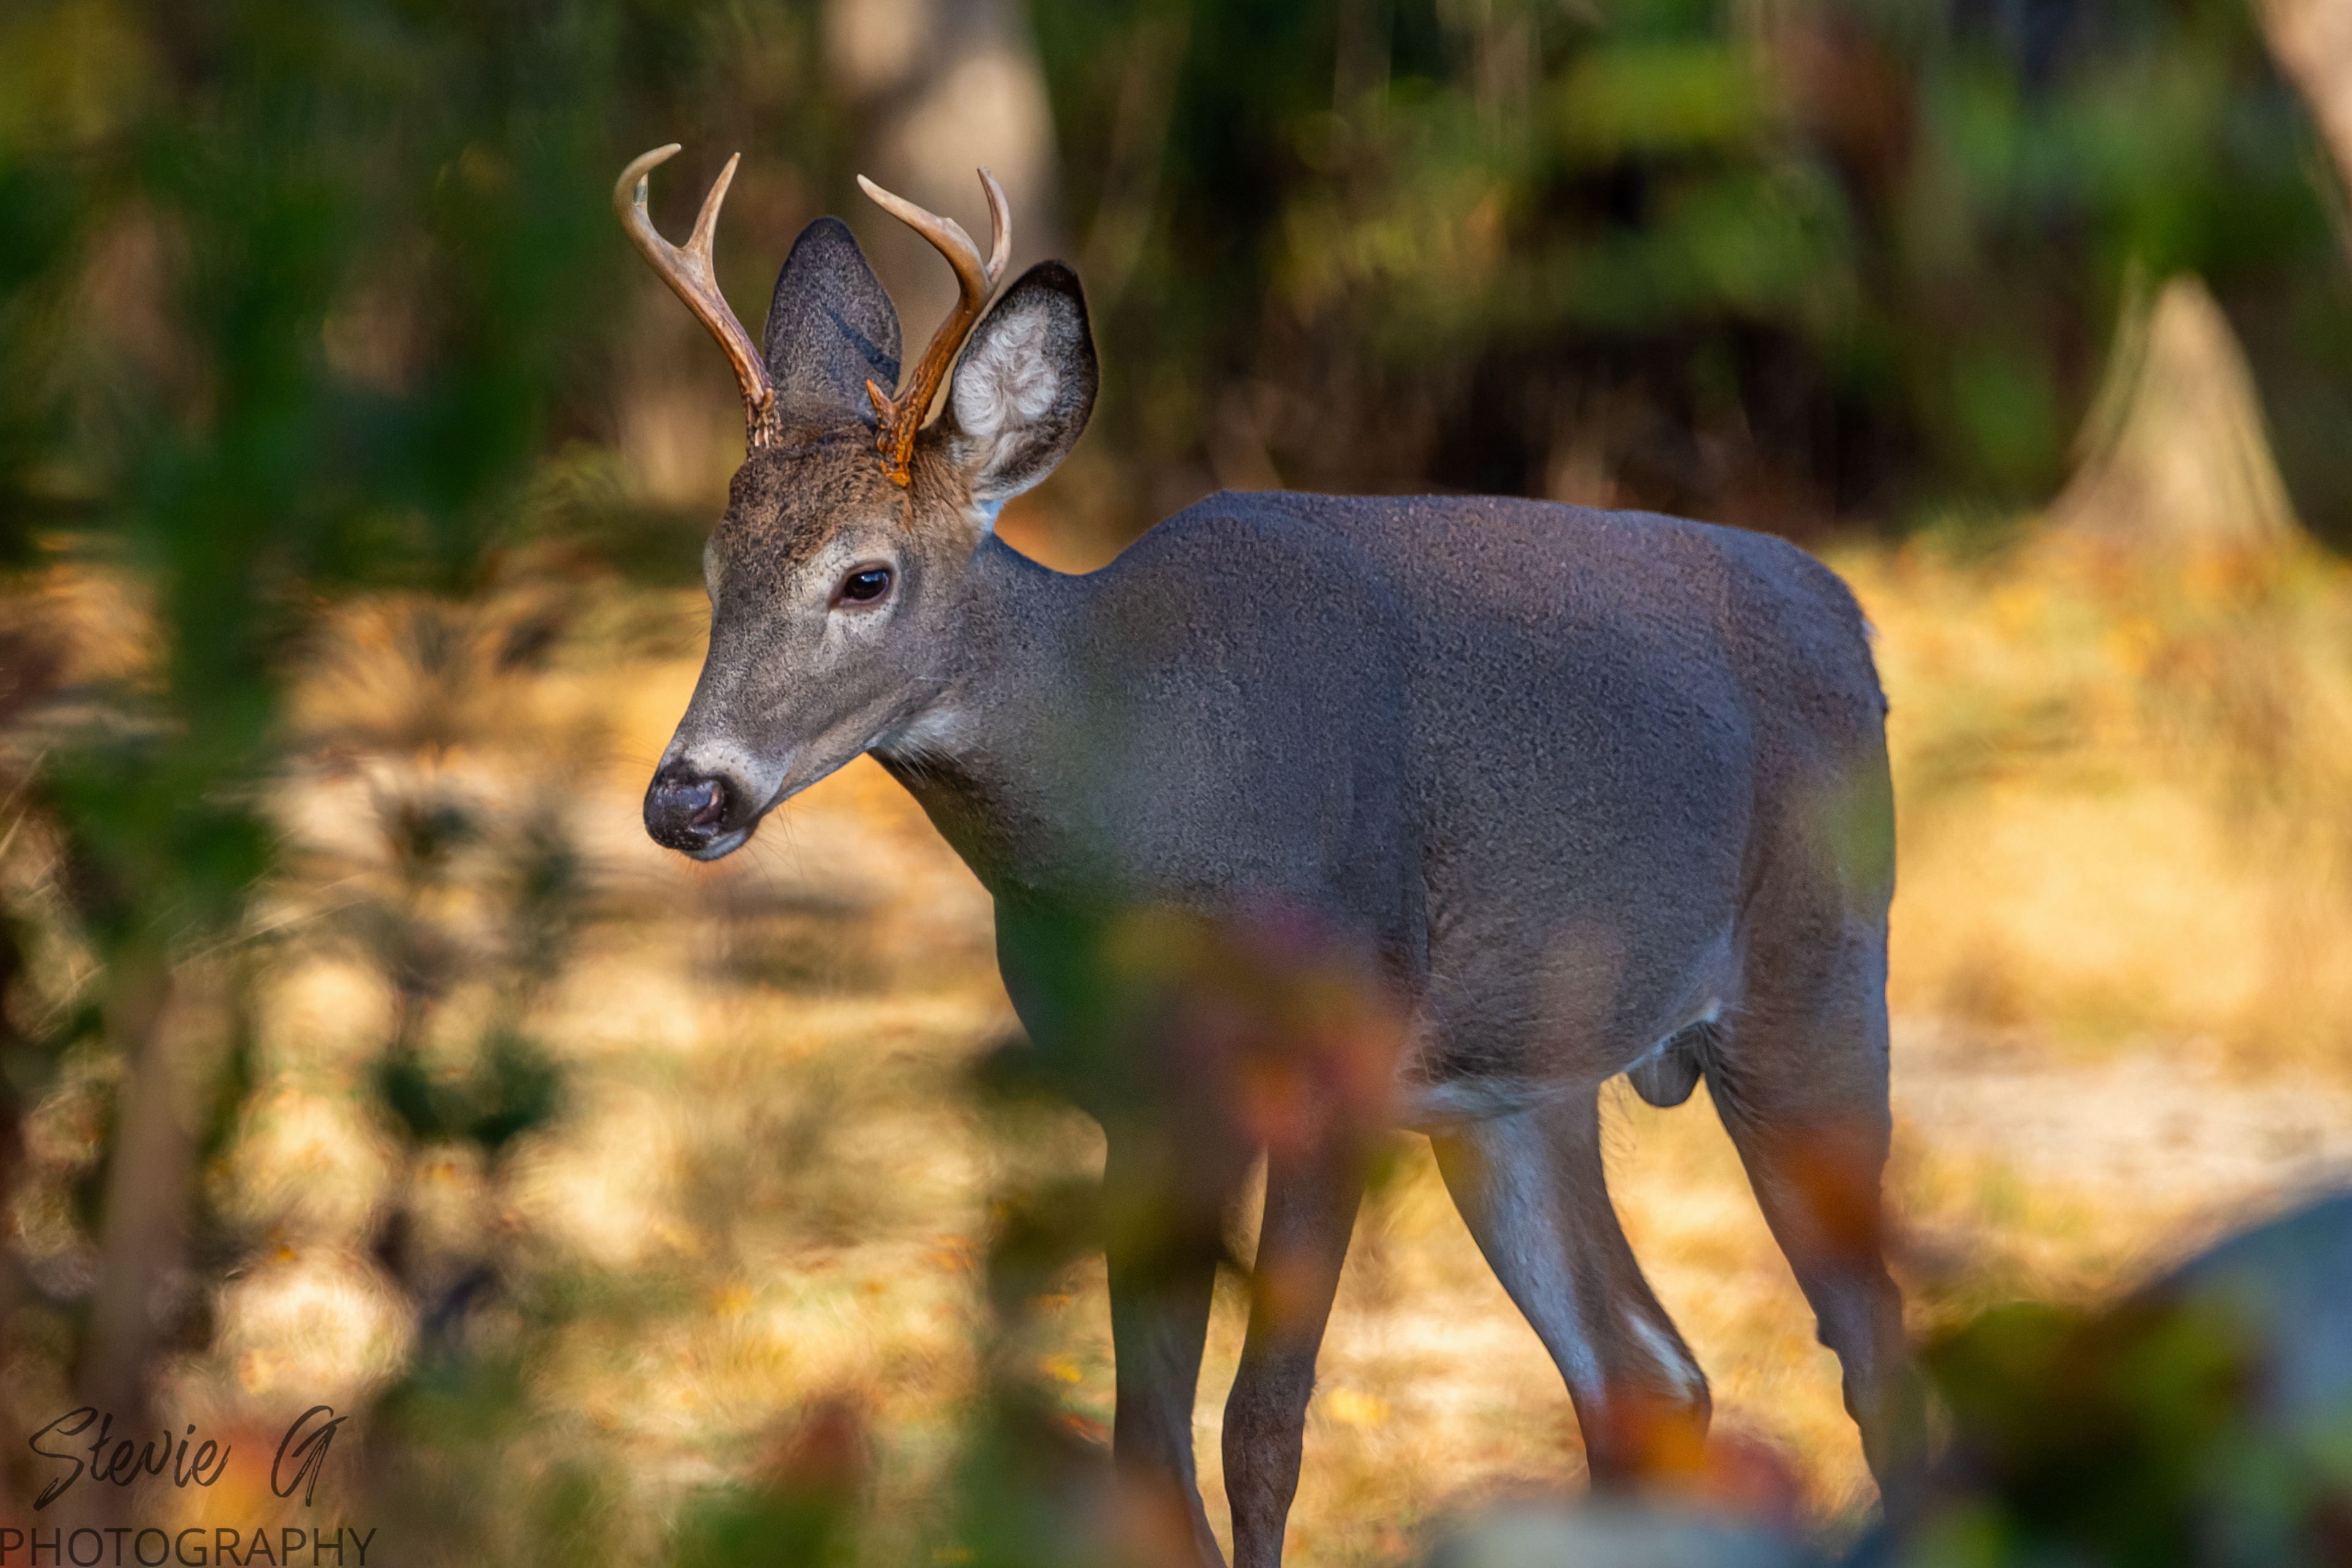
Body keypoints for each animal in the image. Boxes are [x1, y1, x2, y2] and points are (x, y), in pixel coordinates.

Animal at [613, 143, 1925, 1566]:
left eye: (866, 578)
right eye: (711, 568)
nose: (687, 796)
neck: (1160, 782)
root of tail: (1851, 617)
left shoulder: (1340, 1045)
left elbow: (1264, 1426)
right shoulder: (1138, 1095)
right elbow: (1145, 1444)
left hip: (1816, 984)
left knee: (1878, 1350)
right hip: (1521, 1090)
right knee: (1650, 1371)